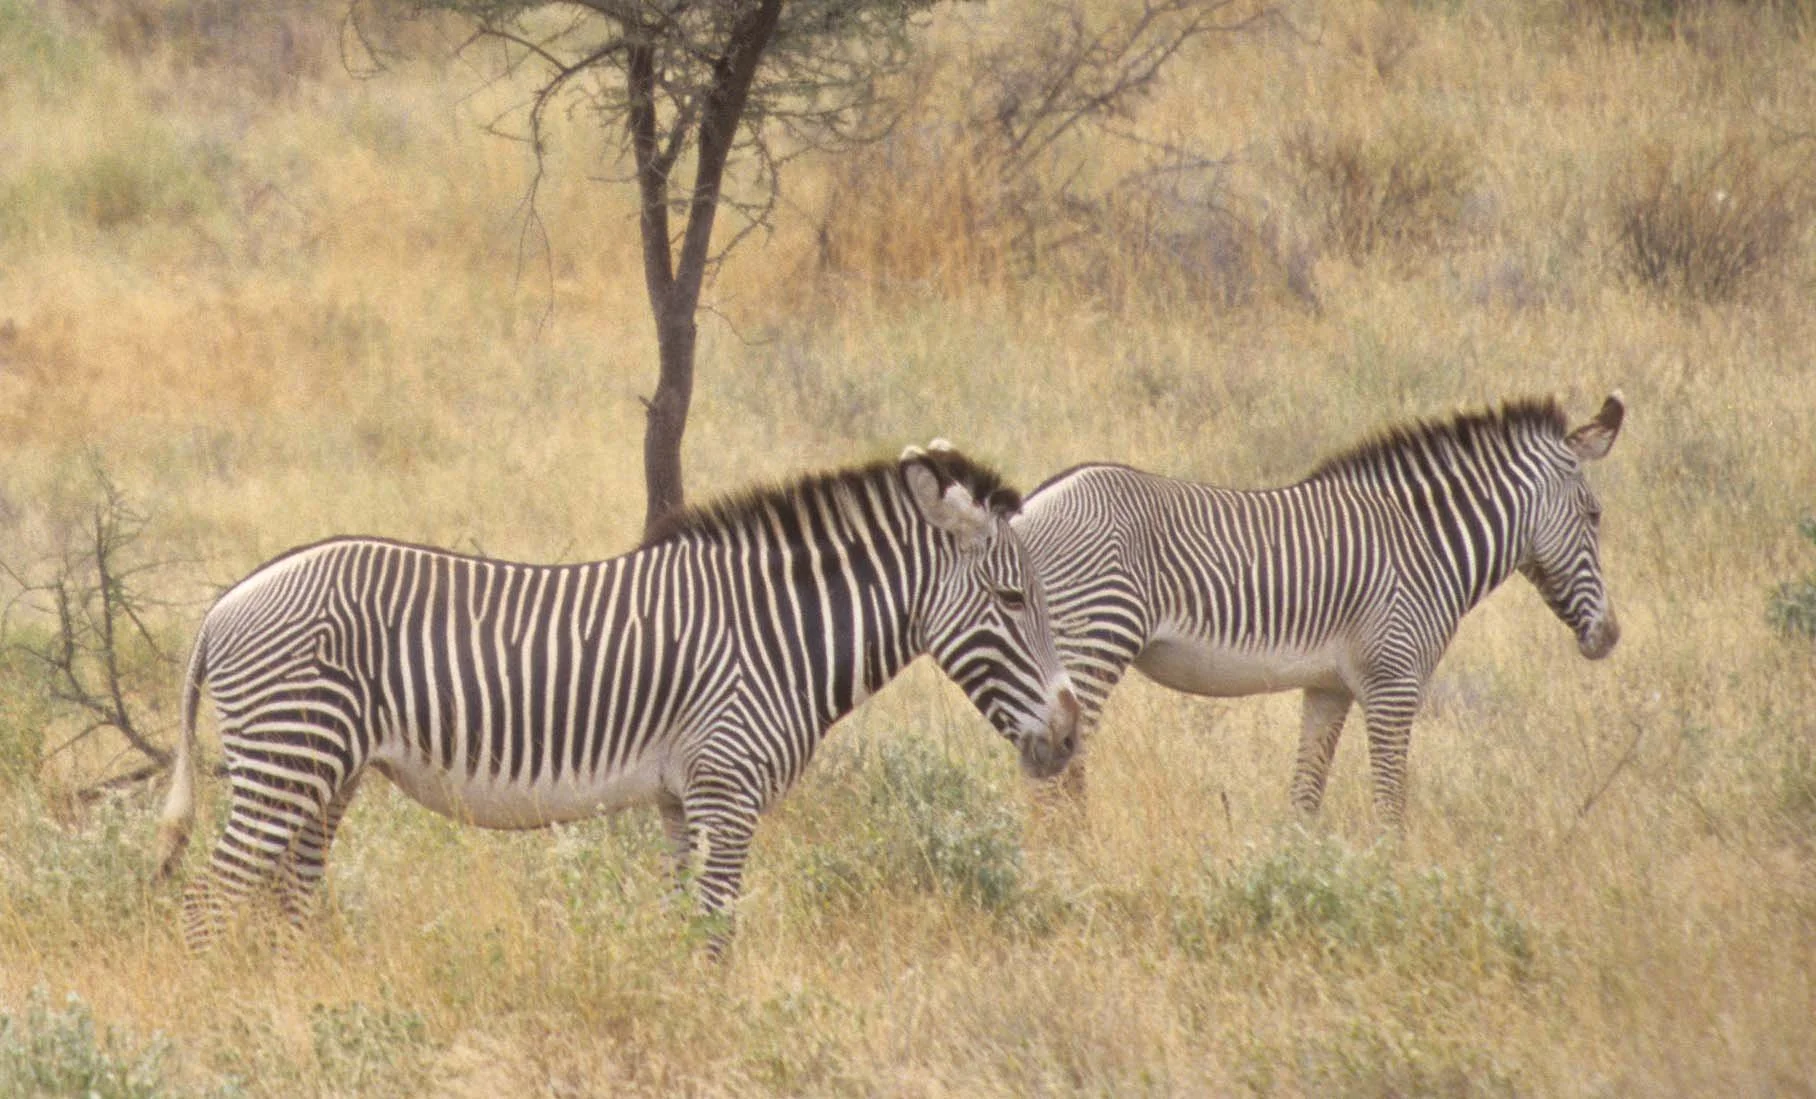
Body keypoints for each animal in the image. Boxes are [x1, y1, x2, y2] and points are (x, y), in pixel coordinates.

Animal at [154, 443, 1081, 953]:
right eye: (1012, 599)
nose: (1070, 736)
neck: (775, 631)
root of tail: (226, 603)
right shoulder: (728, 788)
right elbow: (716, 931)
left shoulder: (680, 799)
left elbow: (681, 925)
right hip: (286, 761)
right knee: (206, 903)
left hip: (328, 773)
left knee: (285, 900)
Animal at [1016, 394, 1624, 825]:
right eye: (1594, 515)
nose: (1611, 636)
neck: (1423, 543)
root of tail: (1030, 506)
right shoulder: (1394, 682)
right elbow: (1391, 806)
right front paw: (1391, 883)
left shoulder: (1328, 687)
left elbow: (1306, 798)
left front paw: (1295, 874)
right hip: (1095, 643)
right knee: (1058, 773)